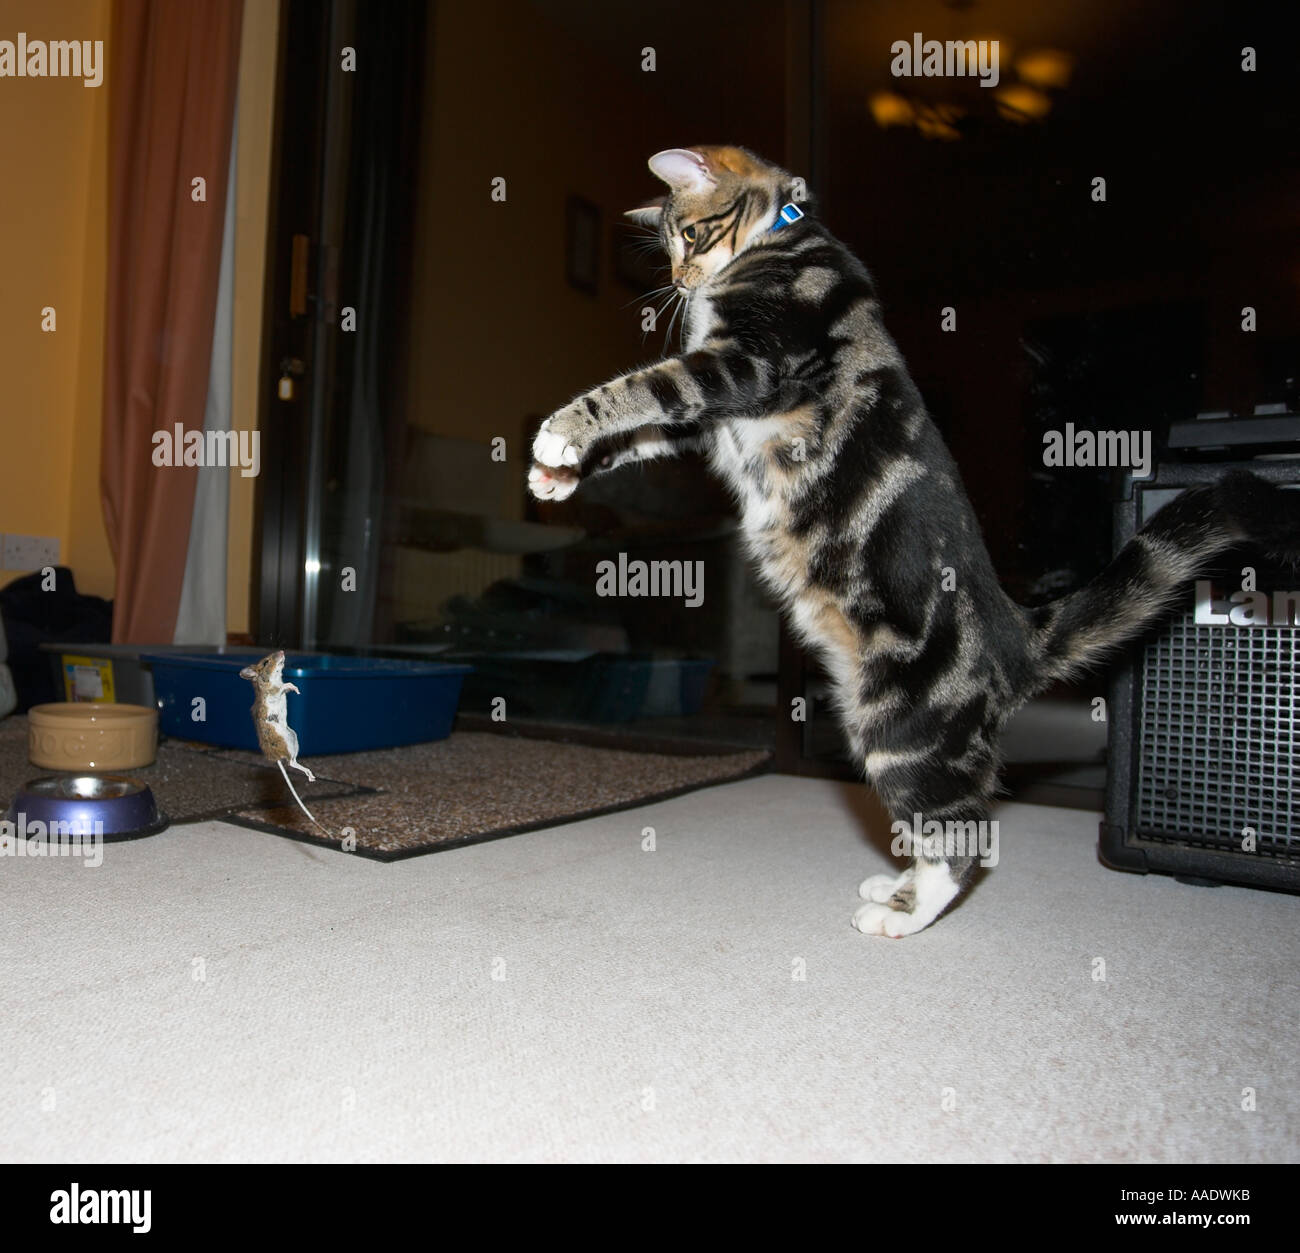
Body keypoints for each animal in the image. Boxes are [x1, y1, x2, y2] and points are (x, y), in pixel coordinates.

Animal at [527, 141, 1300, 935]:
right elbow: (645, 430)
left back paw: (905, 912)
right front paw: (556, 473)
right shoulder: (709, 416)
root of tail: (1016, 635)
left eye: (690, 234)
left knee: (967, 835)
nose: (681, 282)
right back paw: (895, 883)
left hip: (902, 725)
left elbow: (642, 389)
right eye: (671, 244)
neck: (785, 233)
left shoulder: (747, 361)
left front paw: (558, 432)